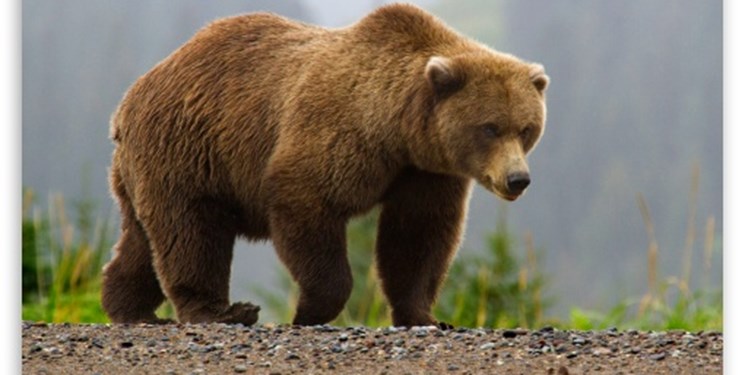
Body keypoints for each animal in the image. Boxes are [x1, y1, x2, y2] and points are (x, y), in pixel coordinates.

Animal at [100, 2, 548, 328]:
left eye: (527, 128)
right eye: (489, 127)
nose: (518, 179)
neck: (397, 130)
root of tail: (128, 101)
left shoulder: (425, 172)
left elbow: (418, 236)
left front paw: (425, 316)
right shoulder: (338, 133)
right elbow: (307, 202)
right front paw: (308, 311)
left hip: (149, 169)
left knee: (143, 240)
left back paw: (129, 308)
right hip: (189, 150)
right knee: (191, 232)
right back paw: (221, 312)